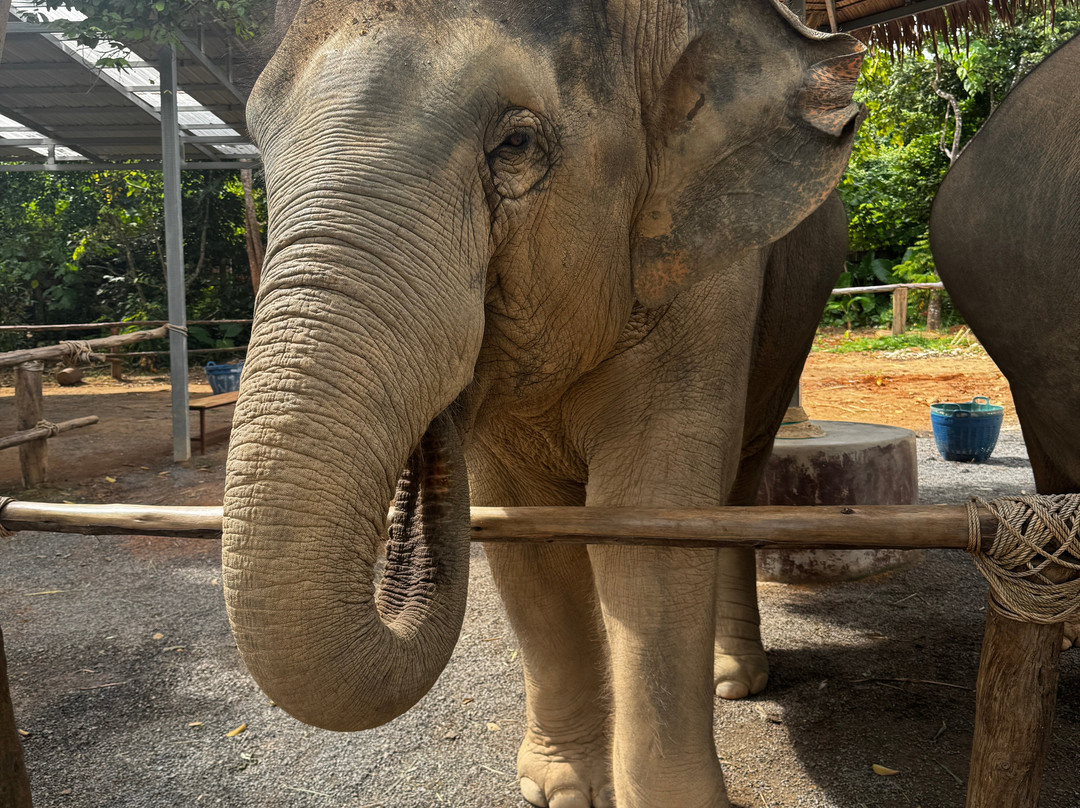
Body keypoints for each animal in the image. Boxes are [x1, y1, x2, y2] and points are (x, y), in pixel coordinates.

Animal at [221, 1, 863, 805]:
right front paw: (561, 789)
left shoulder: (709, 270)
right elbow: (527, 532)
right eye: (261, 155)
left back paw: (735, 681)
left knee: (738, 494)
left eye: (517, 143)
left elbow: (651, 519)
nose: (433, 426)